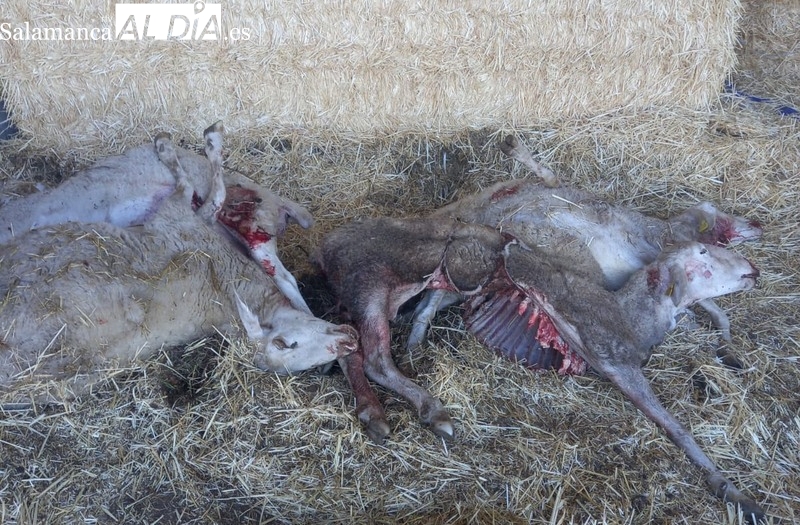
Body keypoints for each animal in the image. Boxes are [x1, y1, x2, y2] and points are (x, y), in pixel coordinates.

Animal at [315, 217, 764, 520]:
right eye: (702, 254)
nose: (752, 270)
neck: (632, 315)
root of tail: (328, 243)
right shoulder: (615, 361)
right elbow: (677, 427)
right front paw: (736, 493)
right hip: (373, 283)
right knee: (374, 357)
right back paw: (432, 410)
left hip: (375, 294)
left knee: (348, 347)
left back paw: (373, 412)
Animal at [407, 136, 763, 351]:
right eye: (720, 215)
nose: (757, 224)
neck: (664, 232)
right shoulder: (660, 252)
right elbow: (709, 302)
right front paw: (722, 334)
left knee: (435, 295)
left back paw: (414, 339)